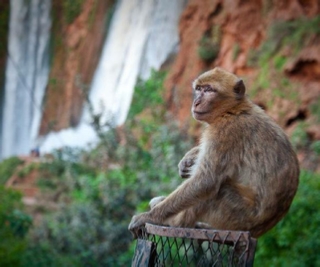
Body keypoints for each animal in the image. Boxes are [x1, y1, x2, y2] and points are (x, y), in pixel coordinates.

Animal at [128, 67, 300, 239]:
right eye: (199, 89)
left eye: (209, 90)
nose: (196, 102)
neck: (233, 109)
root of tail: (256, 232)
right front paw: (189, 158)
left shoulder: (226, 130)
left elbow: (205, 182)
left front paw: (149, 217)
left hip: (238, 217)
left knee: (217, 190)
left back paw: (175, 222)